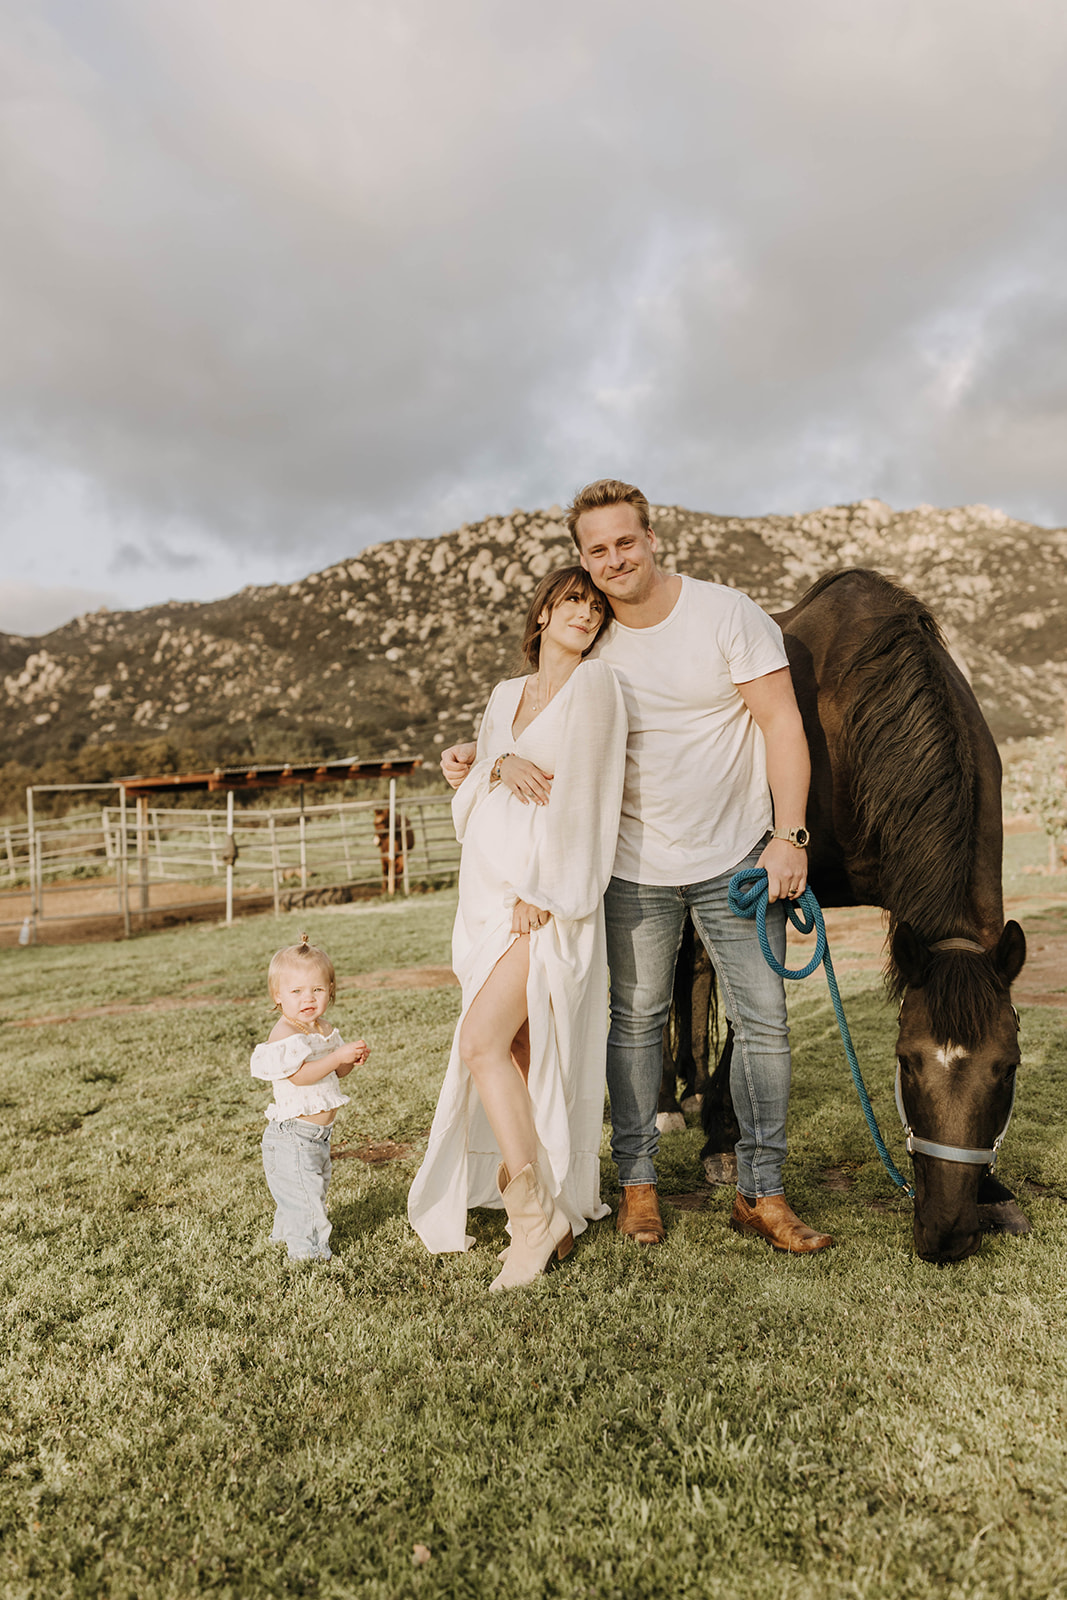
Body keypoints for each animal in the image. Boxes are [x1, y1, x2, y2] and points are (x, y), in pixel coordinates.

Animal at [694, 572, 1023, 1260]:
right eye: (906, 1060)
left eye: (1007, 1067)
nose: (947, 1235)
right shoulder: (771, 883)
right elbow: (746, 1013)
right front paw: (723, 1141)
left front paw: (995, 1191)